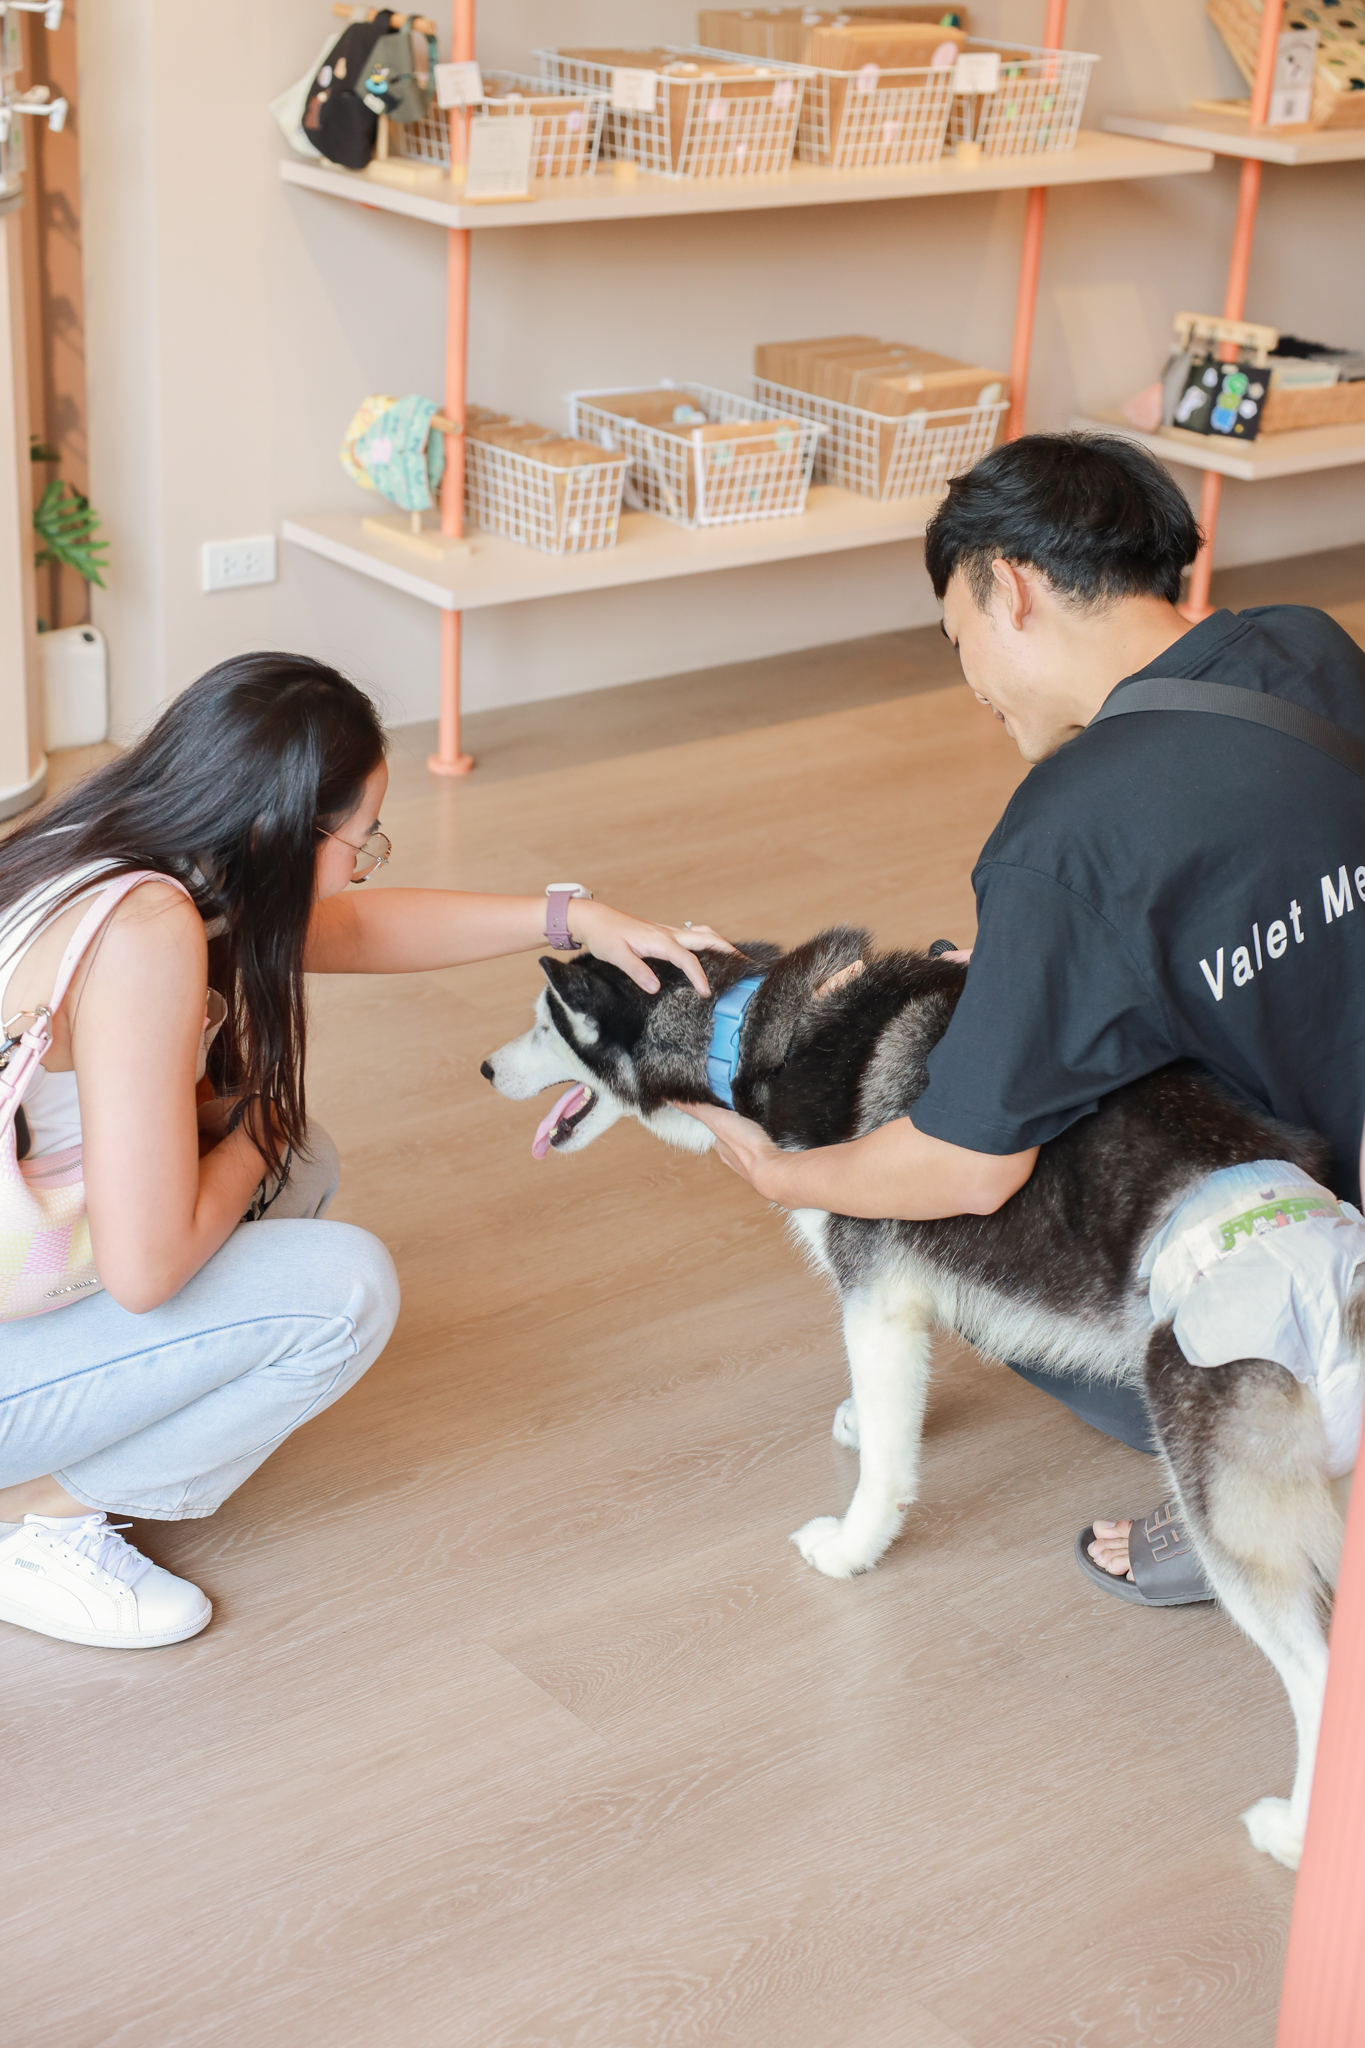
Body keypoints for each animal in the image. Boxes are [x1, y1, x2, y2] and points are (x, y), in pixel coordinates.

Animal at [481, 927, 1358, 1869]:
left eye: (543, 1023)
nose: (485, 1069)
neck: (735, 1023)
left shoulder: (873, 1288)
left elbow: (884, 1467)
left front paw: (853, 1545)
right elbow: (886, 1408)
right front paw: (862, 1424)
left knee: (1314, 1681)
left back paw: (1292, 1835)